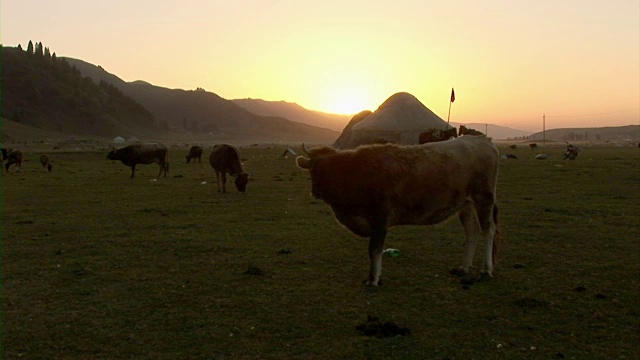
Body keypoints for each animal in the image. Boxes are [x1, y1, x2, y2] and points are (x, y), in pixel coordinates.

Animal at [296, 136, 500, 288]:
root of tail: (482, 140)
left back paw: (486, 269)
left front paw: (372, 280)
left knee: (488, 230)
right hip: (465, 204)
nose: (315, 192)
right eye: (314, 169)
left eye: (327, 169)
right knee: (472, 231)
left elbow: (374, 250)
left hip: (484, 198)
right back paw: (464, 267)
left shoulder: (379, 219)